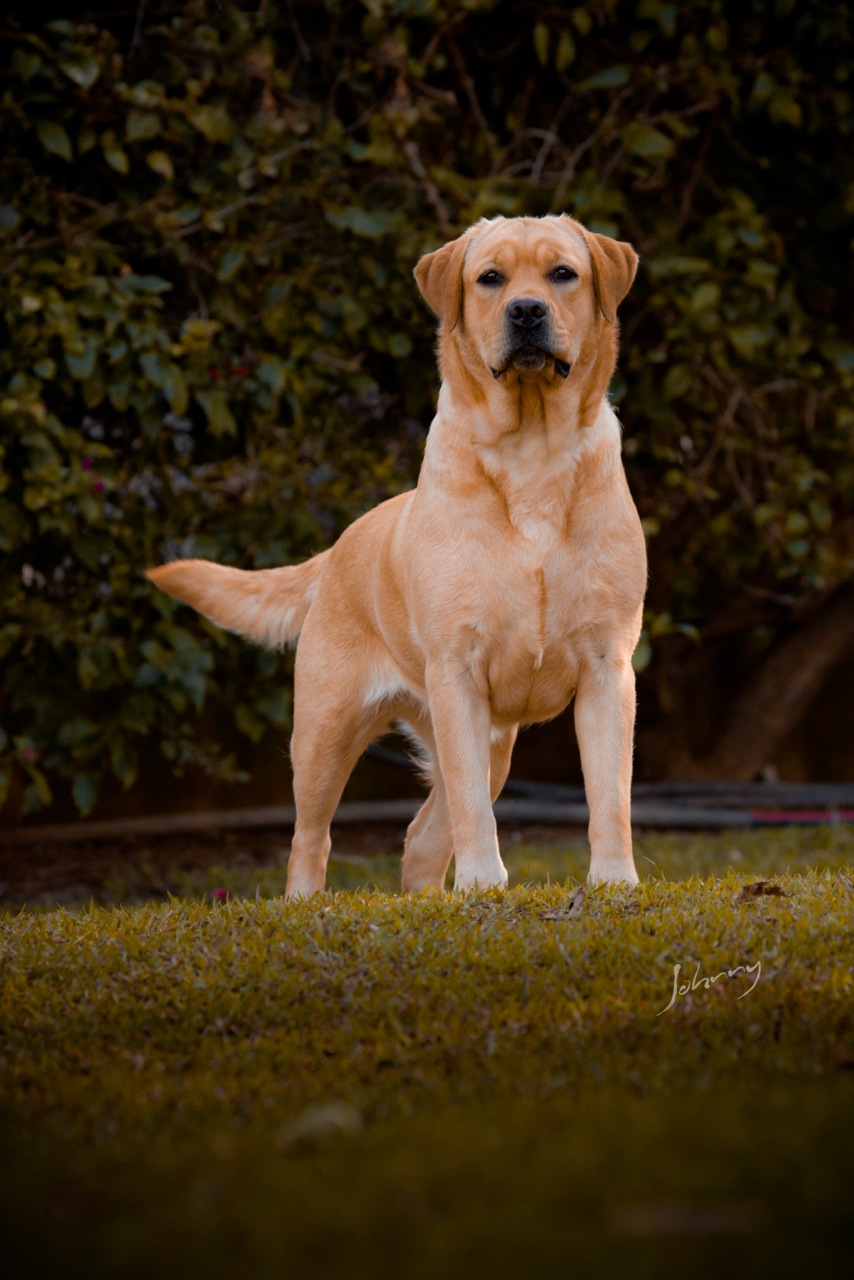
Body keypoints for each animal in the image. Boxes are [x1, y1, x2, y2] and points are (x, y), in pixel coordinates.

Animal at [150, 215, 647, 896]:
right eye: (490, 278)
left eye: (563, 273)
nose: (526, 311)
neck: (533, 454)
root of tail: (334, 549)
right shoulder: (458, 670)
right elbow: (471, 807)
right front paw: (483, 883)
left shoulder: (607, 667)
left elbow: (610, 797)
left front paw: (613, 882)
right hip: (326, 731)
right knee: (312, 836)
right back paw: (308, 903)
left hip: (489, 740)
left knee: (421, 835)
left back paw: (428, 901)